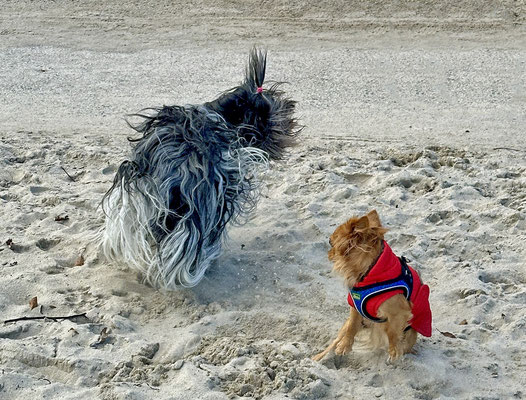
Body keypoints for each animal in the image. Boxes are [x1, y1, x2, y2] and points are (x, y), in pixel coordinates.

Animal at [314, 211, 434, 360]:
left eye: (331, 242)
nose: (328, 253)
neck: (370, 272)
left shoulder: (400, 312)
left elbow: (392, 332)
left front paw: (394, 351)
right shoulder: (355, 307)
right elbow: (351, 328)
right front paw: (344, 346)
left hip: (410, 334)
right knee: (337, 338)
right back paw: (319, 357)